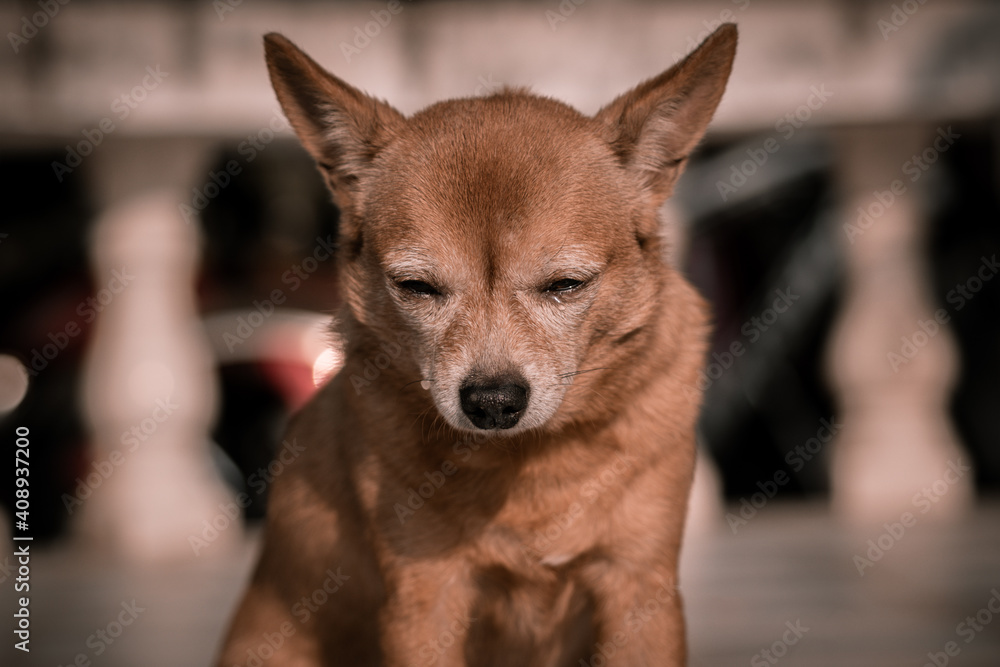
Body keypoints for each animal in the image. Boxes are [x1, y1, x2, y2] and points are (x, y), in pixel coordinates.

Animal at [219, 23, 736, 667]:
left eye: (566, 285)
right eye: (416, 287)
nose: (491, 401)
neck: (525, 467)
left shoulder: (638, 590)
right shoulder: (425, 601)